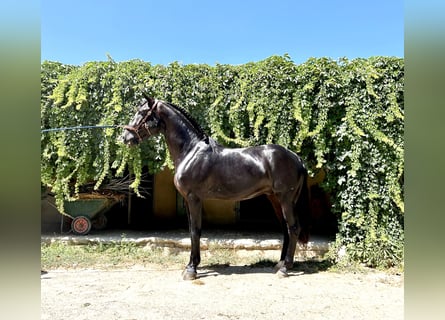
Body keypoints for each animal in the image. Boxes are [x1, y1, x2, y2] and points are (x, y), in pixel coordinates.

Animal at [121, 94, 308, 280]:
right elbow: (191, 231)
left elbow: (195, 231)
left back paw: (285, 269)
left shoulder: (194, 198)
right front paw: (192, 265)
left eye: (142, 112)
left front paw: (191, 270)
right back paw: (280, 264)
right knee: (286, 229)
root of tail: (296, 158)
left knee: (293, 228)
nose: (125, 137)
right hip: (275, 198)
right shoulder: (187, 200)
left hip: (285, 198)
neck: (191, 151)